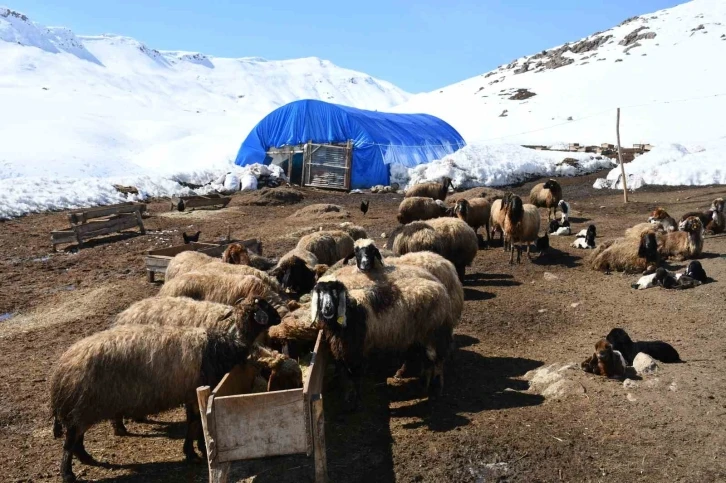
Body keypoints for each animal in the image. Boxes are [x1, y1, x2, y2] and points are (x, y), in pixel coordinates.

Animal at [312, 272, 456, 408]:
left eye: (334, 292)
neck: (349, 311)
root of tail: (441, 289)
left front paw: (357, 403)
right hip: (419, 339)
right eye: (320, 293)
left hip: (436, 336)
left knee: (438, 362)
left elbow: (356, 379)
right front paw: (346, 401)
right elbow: (346, 379)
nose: (327, 308)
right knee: (428, 362)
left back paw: (438, 389)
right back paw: (424, 386)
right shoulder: (343, 353)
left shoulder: (357, 352)